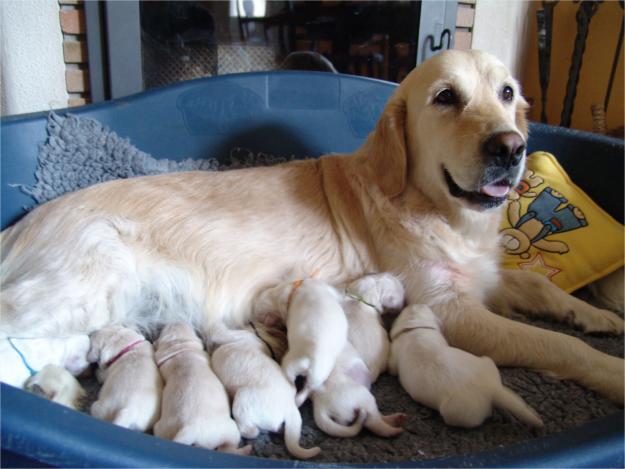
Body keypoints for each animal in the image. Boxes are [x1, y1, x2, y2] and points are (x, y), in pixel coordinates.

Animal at [152, 322, 250, 454]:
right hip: (230, 431)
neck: (182, 353)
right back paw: (247, 449)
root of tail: (190, 429)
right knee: (227, 448)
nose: (176, 321)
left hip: (162, 430)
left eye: (164, 331)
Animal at [210, 322, 320, 458]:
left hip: (242, 397)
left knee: (252, 431)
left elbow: (220, 332)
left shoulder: (237, 335)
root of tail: (290, 406)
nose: (249, 323)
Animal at [388, 304, 544, 428]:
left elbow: (392, 368)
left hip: (456, 412)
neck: (416, 328)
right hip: (487, 362)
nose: (412, 303)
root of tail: (493, 388)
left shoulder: (395, 356)